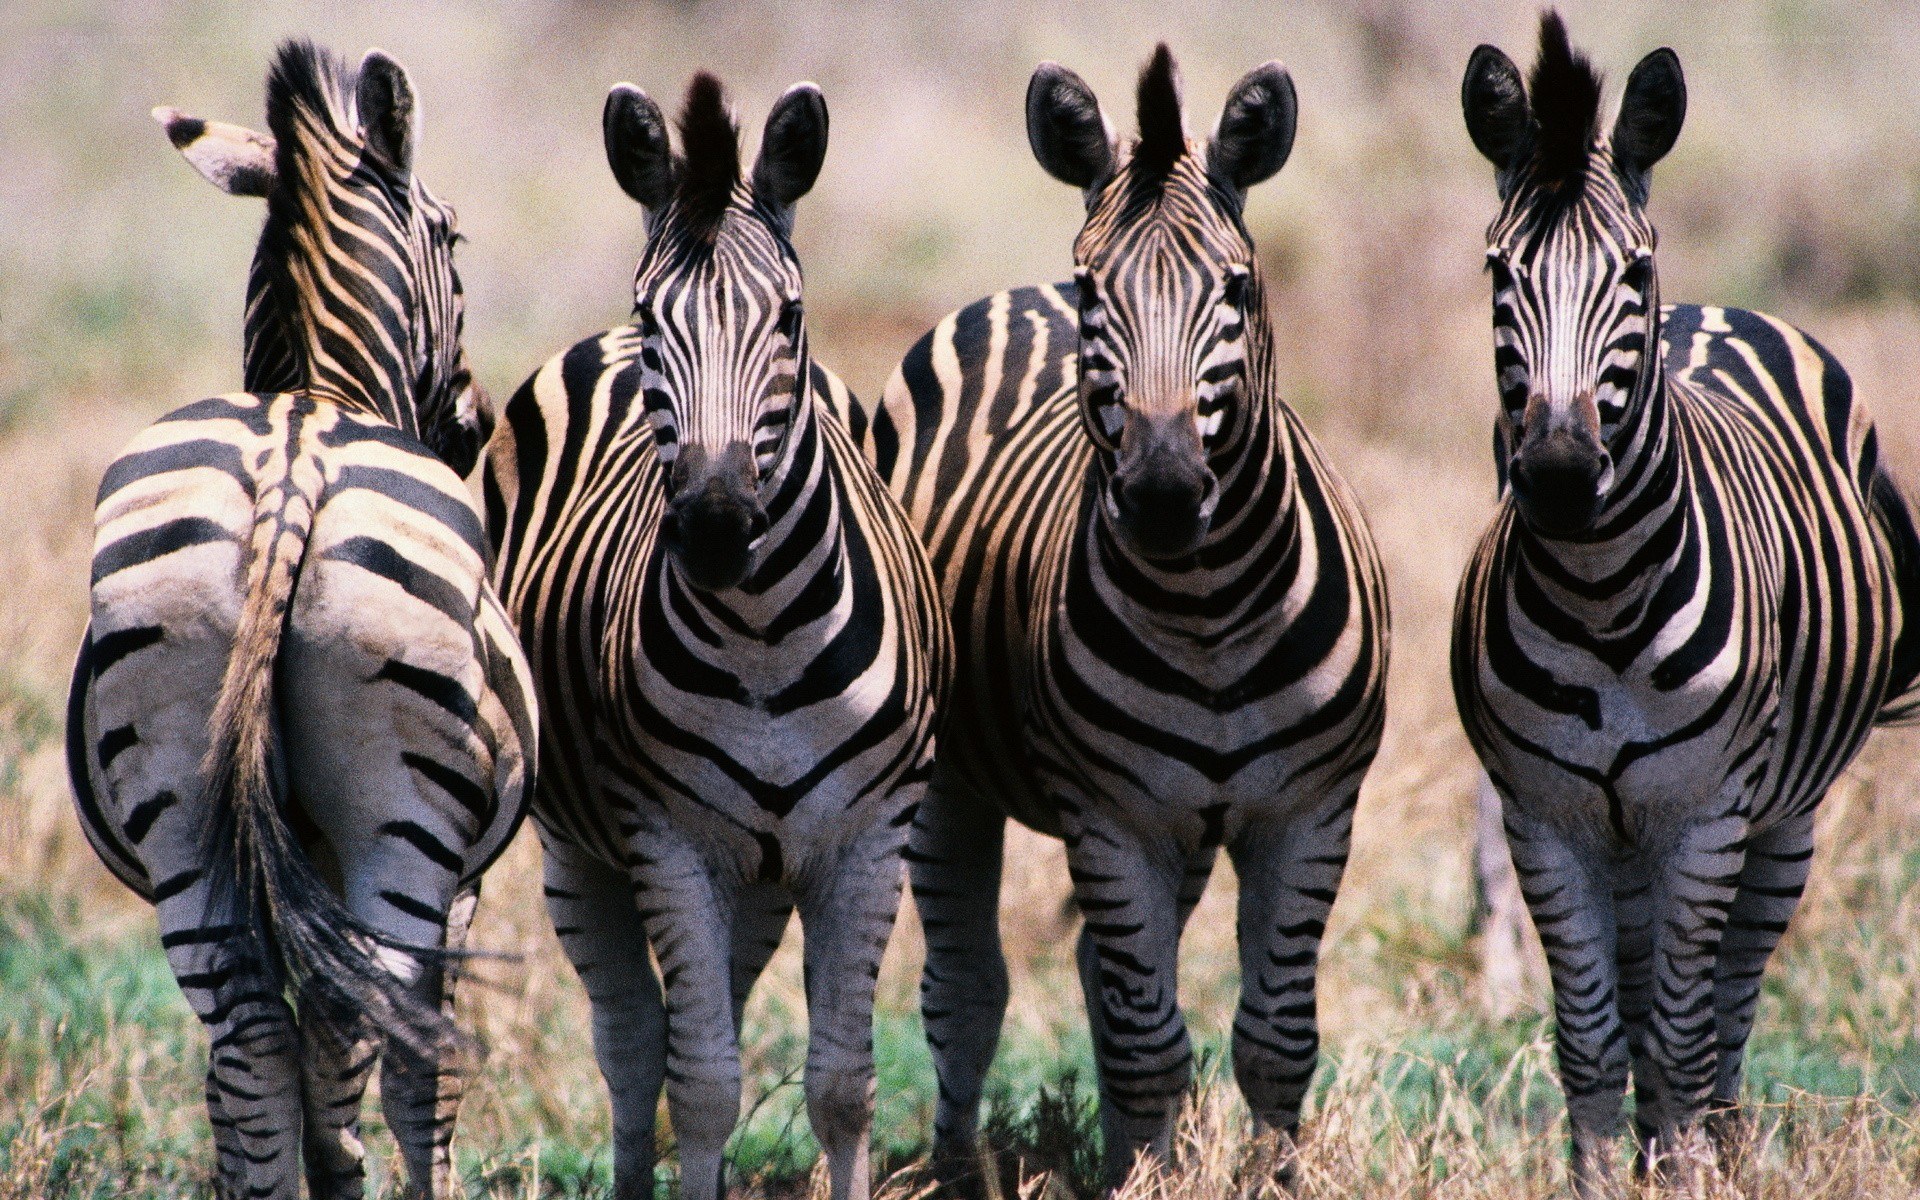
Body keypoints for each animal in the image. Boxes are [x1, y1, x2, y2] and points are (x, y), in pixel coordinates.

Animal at [66, 43, 535, 1200]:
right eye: (455, 237)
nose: (473, 423)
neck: (319, 386)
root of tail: (292, 467)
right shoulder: (463, 887)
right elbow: (403, 1070)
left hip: (182, 807)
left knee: (249, 1045)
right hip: (402, 827)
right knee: (369, 1036)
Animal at [482, 73, 950, 1200]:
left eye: (790, 317)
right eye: (654, 319)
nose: (714, 526)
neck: (763, 640)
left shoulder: (868, 839)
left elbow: (841, 1085)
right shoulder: (668, 841)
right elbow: (695, 1085)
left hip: (763, 877)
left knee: (711, 1021)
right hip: (583, 852)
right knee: (634, 1046)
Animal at [847, 45, 1390, 1188]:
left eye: (1237, 286)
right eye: (1100, 290)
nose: (1163, 493)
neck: (1210, 607)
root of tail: (1017, 294)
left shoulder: (1309, 809)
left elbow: (1275, 1038)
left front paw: (1262, 1178)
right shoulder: (1112, 815)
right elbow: (1147, 1043)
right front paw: (1146, 1181)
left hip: (1183, 829)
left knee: (1103, 973)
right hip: (957, 784)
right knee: (967, 991)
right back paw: (959, 1169)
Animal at [1452, 13, 1920, 1193]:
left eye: (1632, 269)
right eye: (1498, 269)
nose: (1559, 475)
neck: (1601, 598)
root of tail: (1717, 310)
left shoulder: (1708, 819)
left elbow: (1678, 1032)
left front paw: (1689, 1172)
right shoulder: (1545, 820)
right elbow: (1592, 1039)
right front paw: (1603, 1176)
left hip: (1781, 819)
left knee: (1729, 1003)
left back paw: (1725, 1142)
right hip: (1626, 839)